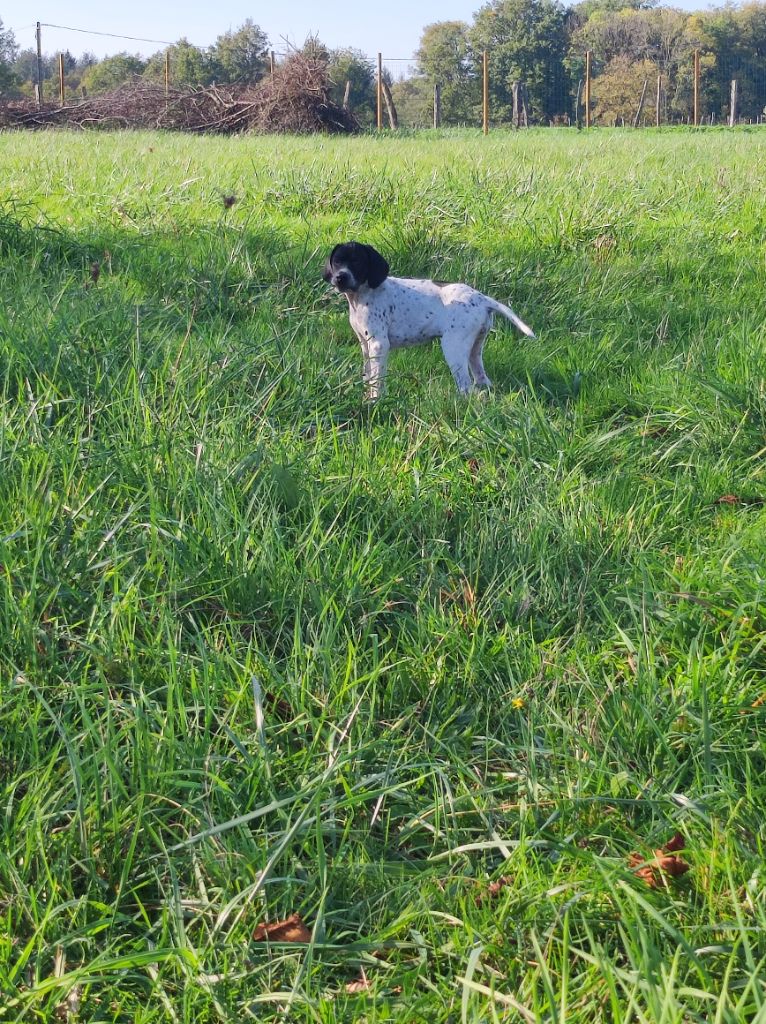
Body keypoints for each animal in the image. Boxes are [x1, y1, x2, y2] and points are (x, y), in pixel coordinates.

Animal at [321, 241, 532, 397]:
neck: (362, 295)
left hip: (453, 347)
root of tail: (481, 298)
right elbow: (368, 375)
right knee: (481, 378)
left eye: (357, 262)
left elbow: (377, 379)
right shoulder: (365, 344)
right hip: (475, 348)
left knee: (465, 386)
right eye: (337, 262)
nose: (340, 277)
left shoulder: (379, 344)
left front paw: (375, 400)